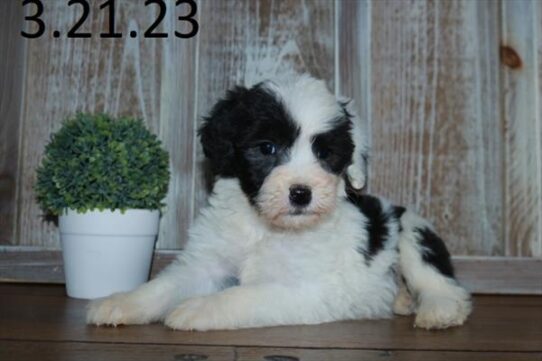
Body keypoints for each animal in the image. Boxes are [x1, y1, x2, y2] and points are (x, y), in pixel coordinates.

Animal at [86, 74, 472, 330]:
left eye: (324, 153)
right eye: (267, 148)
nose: (301, 193)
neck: (263, 228)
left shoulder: (304, 288)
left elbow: (242, 295)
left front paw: (197, 309)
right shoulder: (207, 262)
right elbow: (164, 285)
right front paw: (120, 302)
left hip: (412, 234)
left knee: (446, 287)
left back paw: (437, 311)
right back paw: (402, 300)